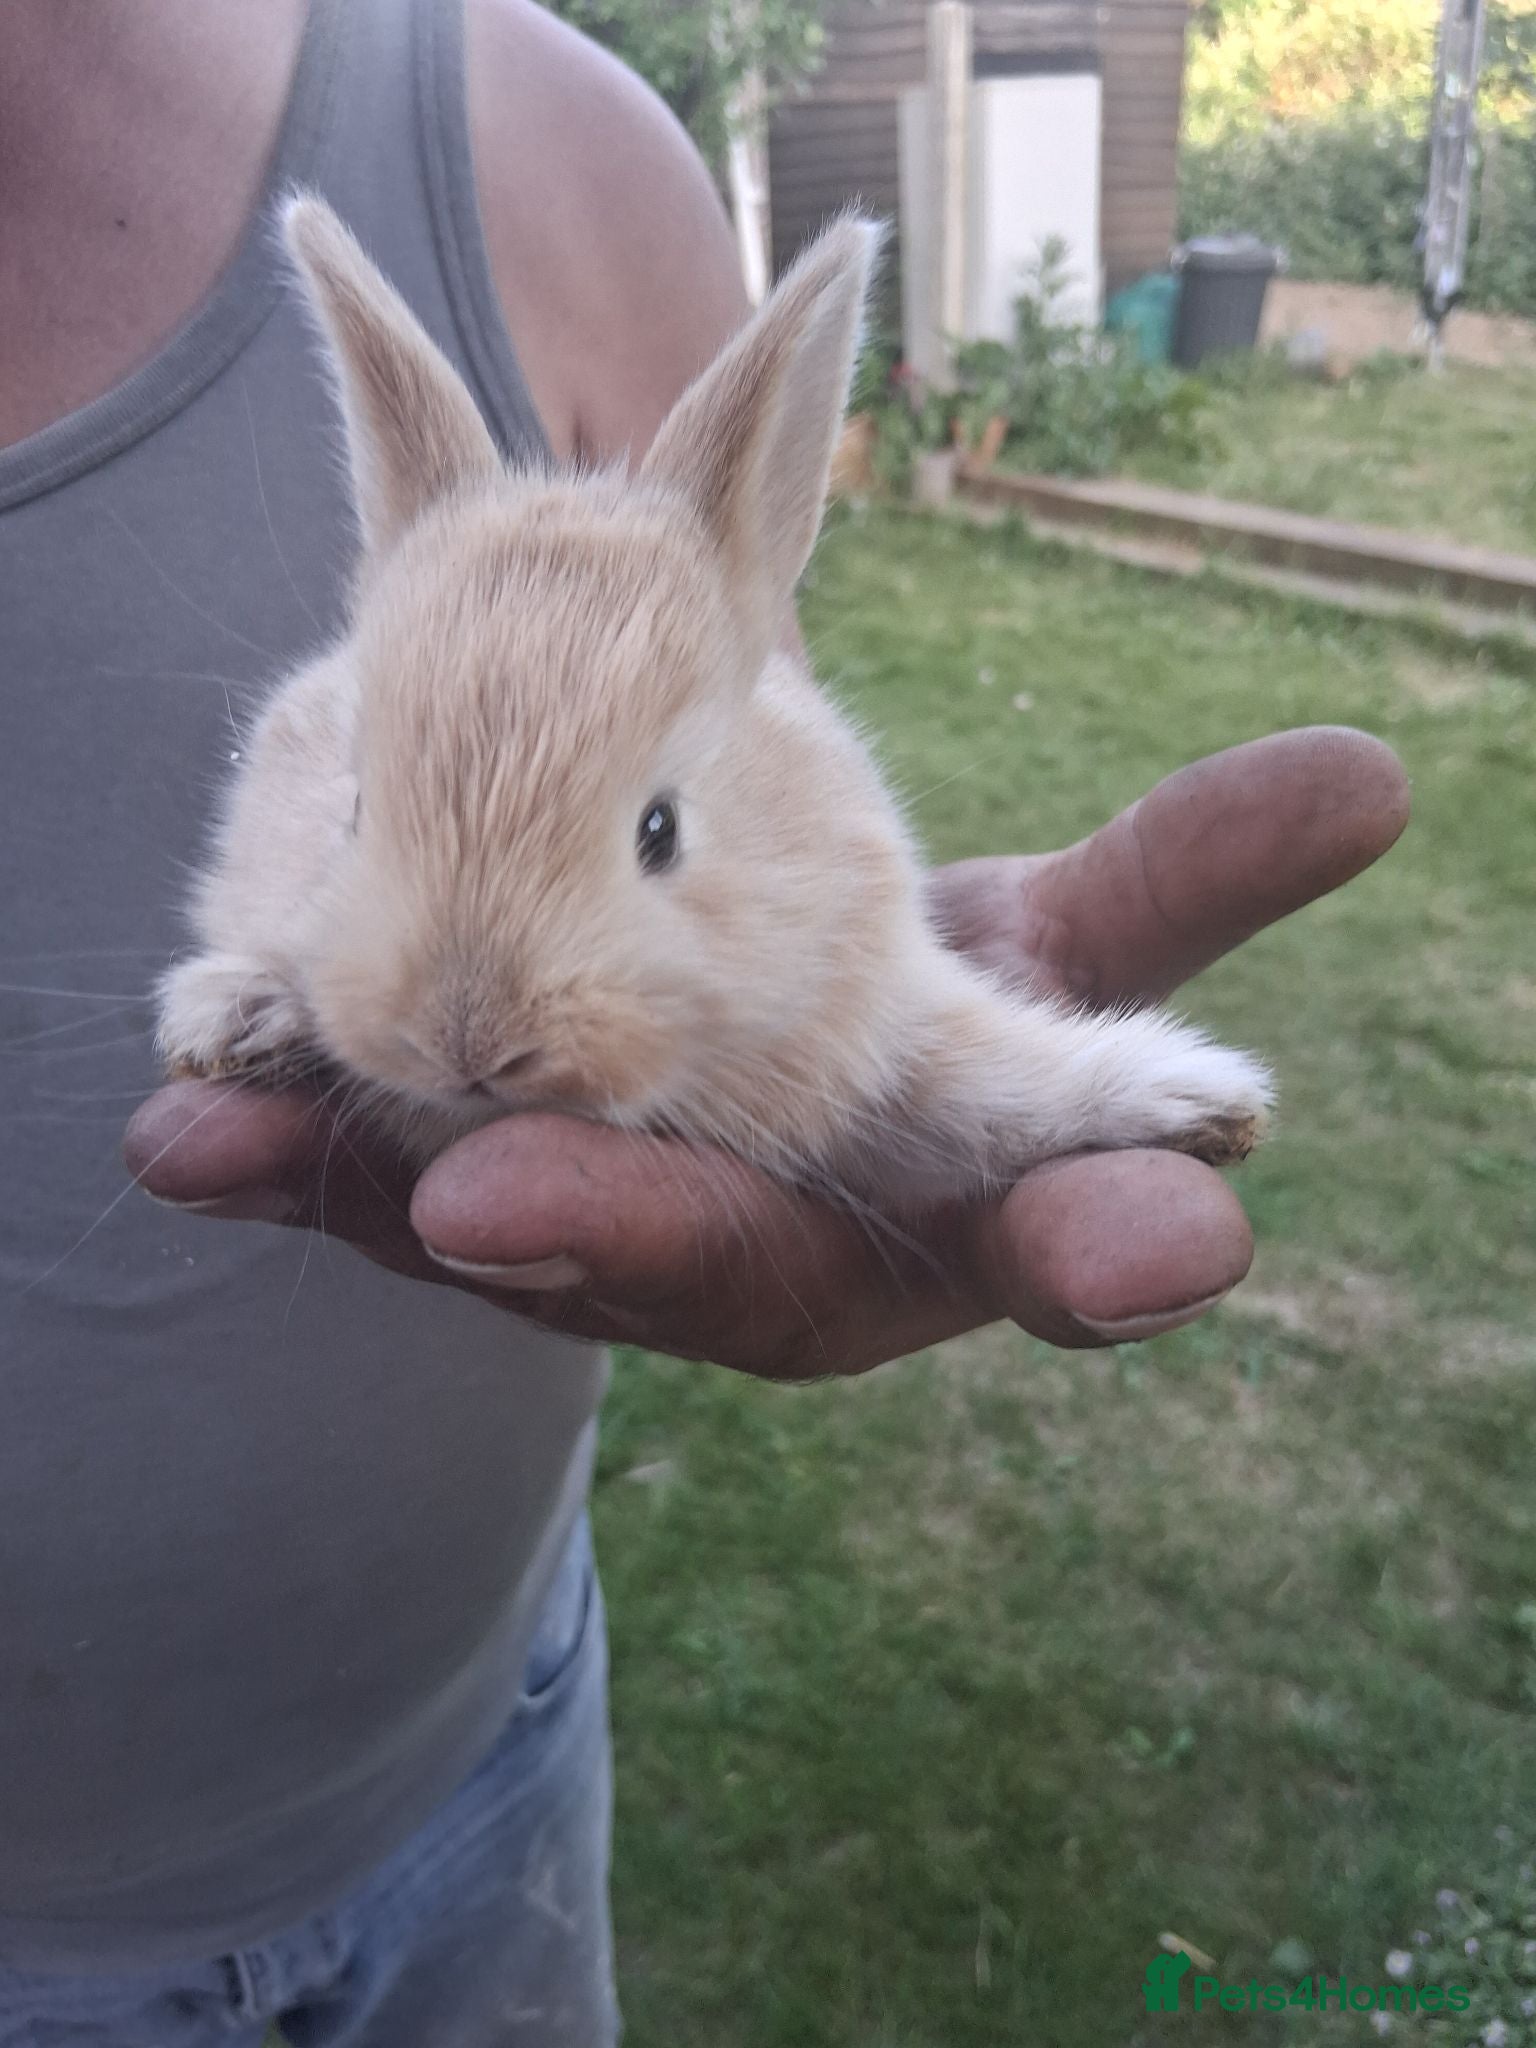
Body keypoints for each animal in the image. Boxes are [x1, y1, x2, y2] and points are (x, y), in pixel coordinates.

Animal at [155, 195, 1271, 1215]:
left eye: (661, 830)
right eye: (354, 811)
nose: (469, 1038)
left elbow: (994, 1089)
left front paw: (1198, 1100)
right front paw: (228, 1012)